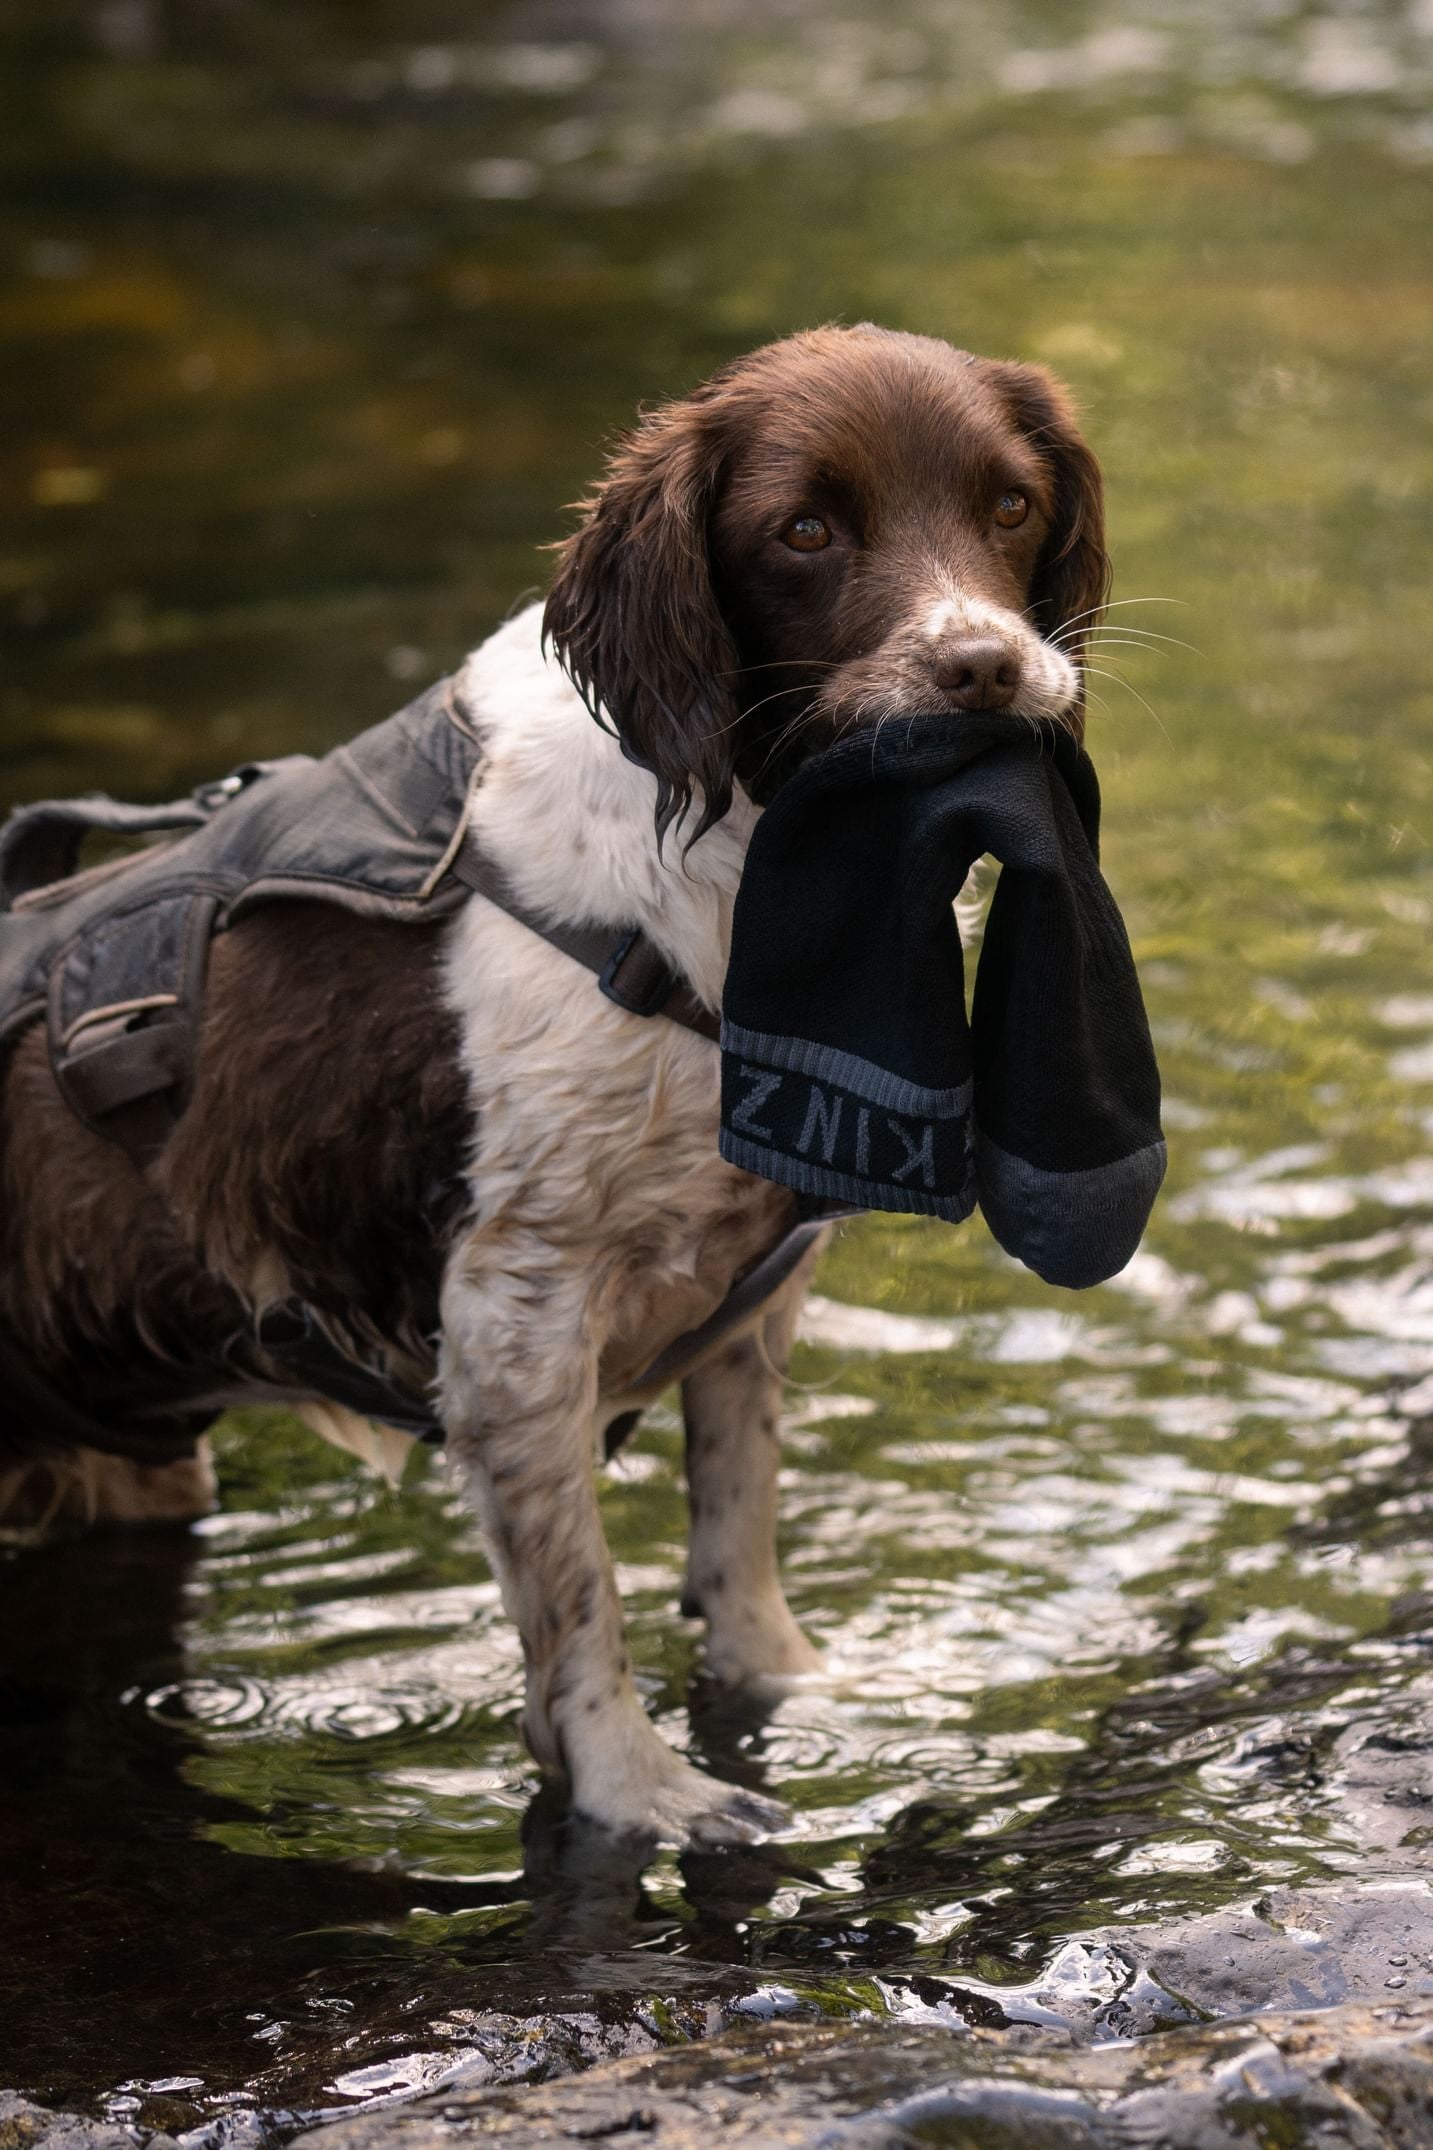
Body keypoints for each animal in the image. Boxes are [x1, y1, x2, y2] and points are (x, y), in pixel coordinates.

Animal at [0, 326, 1108, 1840]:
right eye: (804, 531)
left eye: (1009, 504)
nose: (985, 667)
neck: (726, 858)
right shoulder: (513, 1314)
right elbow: (580, 1600)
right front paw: (640, 1786)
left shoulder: (749, 1296)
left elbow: (736, 1528)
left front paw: (791, 1688)